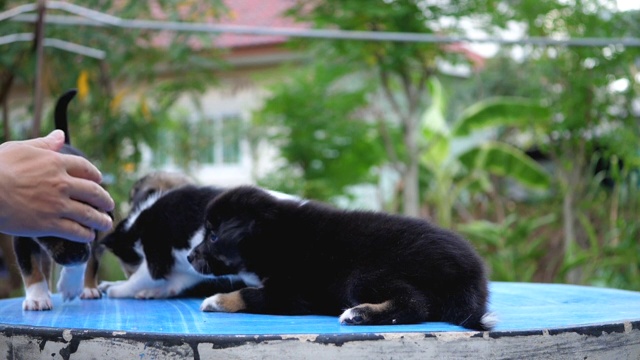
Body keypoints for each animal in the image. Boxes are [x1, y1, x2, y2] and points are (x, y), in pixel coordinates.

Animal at [188, 187, 498, 330]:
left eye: (213, 236)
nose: (190, 257)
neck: (273, 236)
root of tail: (471, 275)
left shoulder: (290, 294)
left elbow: (248, 293)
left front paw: (216, 300)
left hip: (364, 275)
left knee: (416, 304)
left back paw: (359, 313)